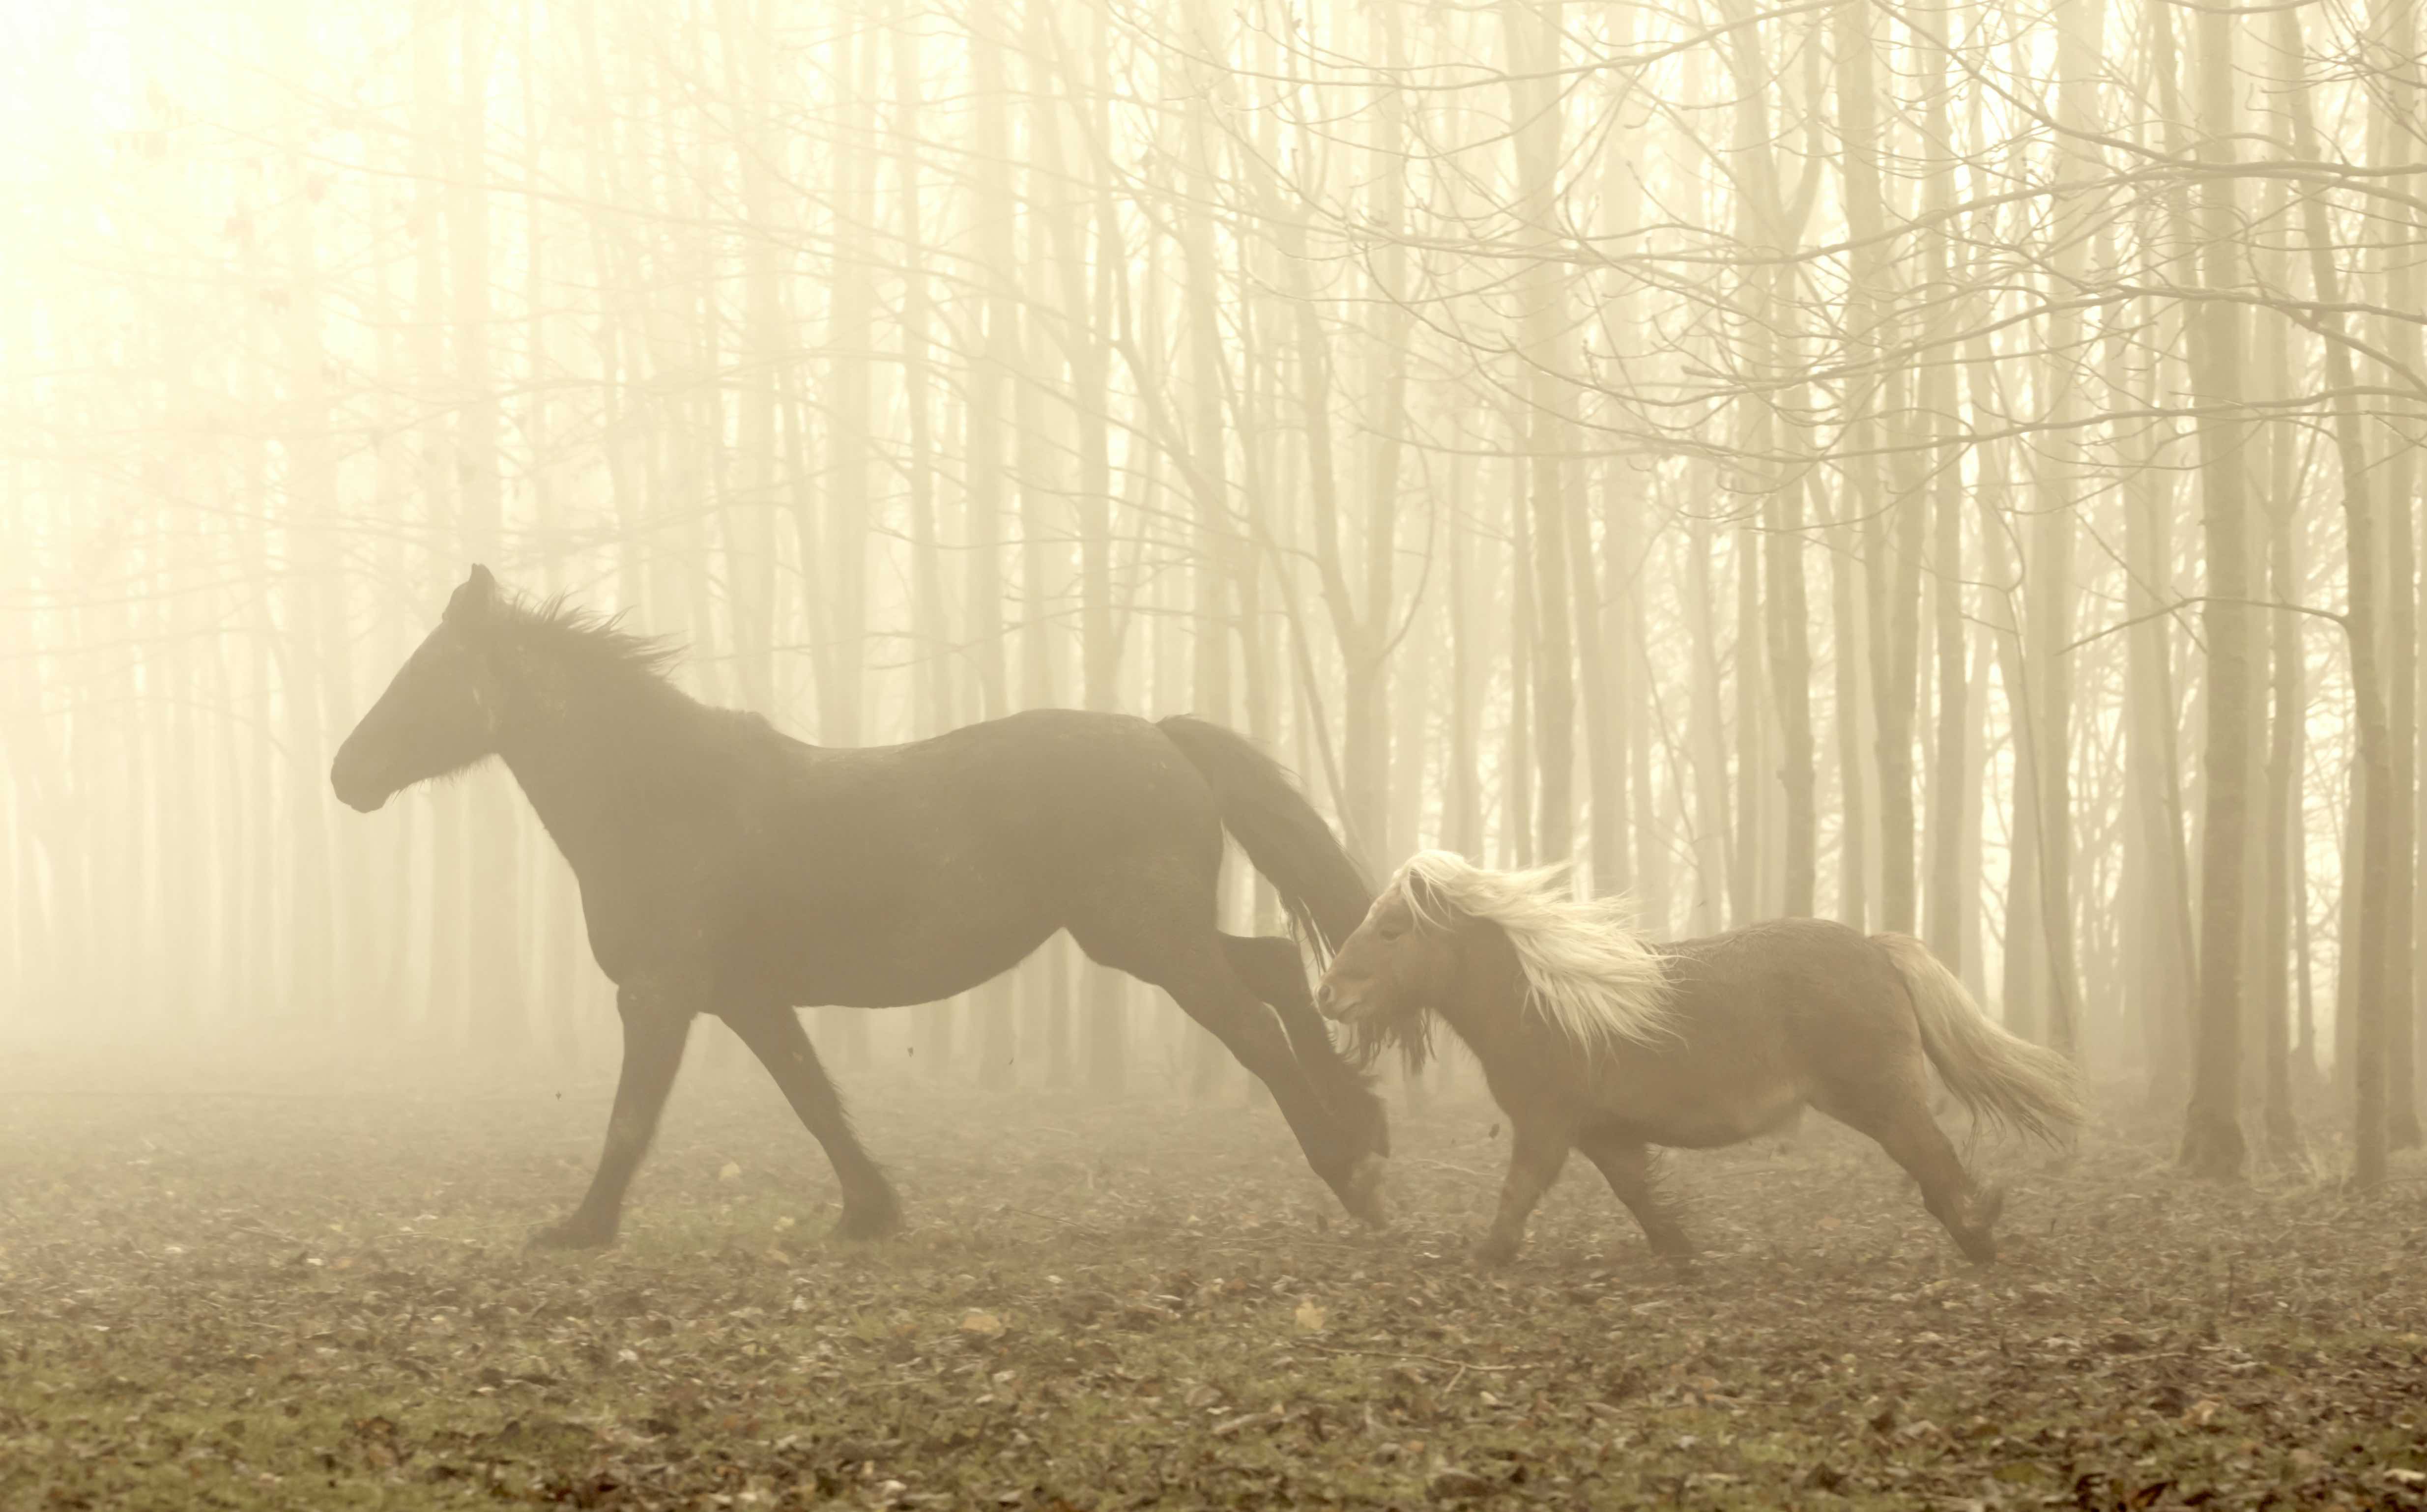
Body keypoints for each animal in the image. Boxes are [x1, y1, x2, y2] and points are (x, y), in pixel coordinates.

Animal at [330, 566, 1386, 1246]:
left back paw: (1347, 1171)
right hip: (1141, 934)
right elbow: (812, 1097)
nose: (346, 773)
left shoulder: (660, 993)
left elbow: (634, 1115)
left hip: (1147, 939)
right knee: (1278, 967)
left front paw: (580, 1227)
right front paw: (870, 1210)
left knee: (1254, 1021)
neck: (662, 799)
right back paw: (1364, 1129)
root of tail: (1164, 740)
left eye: (427, 673)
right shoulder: (745, 996)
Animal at [1313, 851, 2082, 1264]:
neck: (1546, 999)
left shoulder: (1547, 1125)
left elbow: (1519, 1191)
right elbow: (1639, 1193)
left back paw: (1978, 1238)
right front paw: (1679, 1248)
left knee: (1934, 1162)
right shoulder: (1603, 1134)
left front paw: (1486, 1256)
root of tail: (1874, 947)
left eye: (1392, 928)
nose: (1327, 994)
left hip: (1883, 1100)